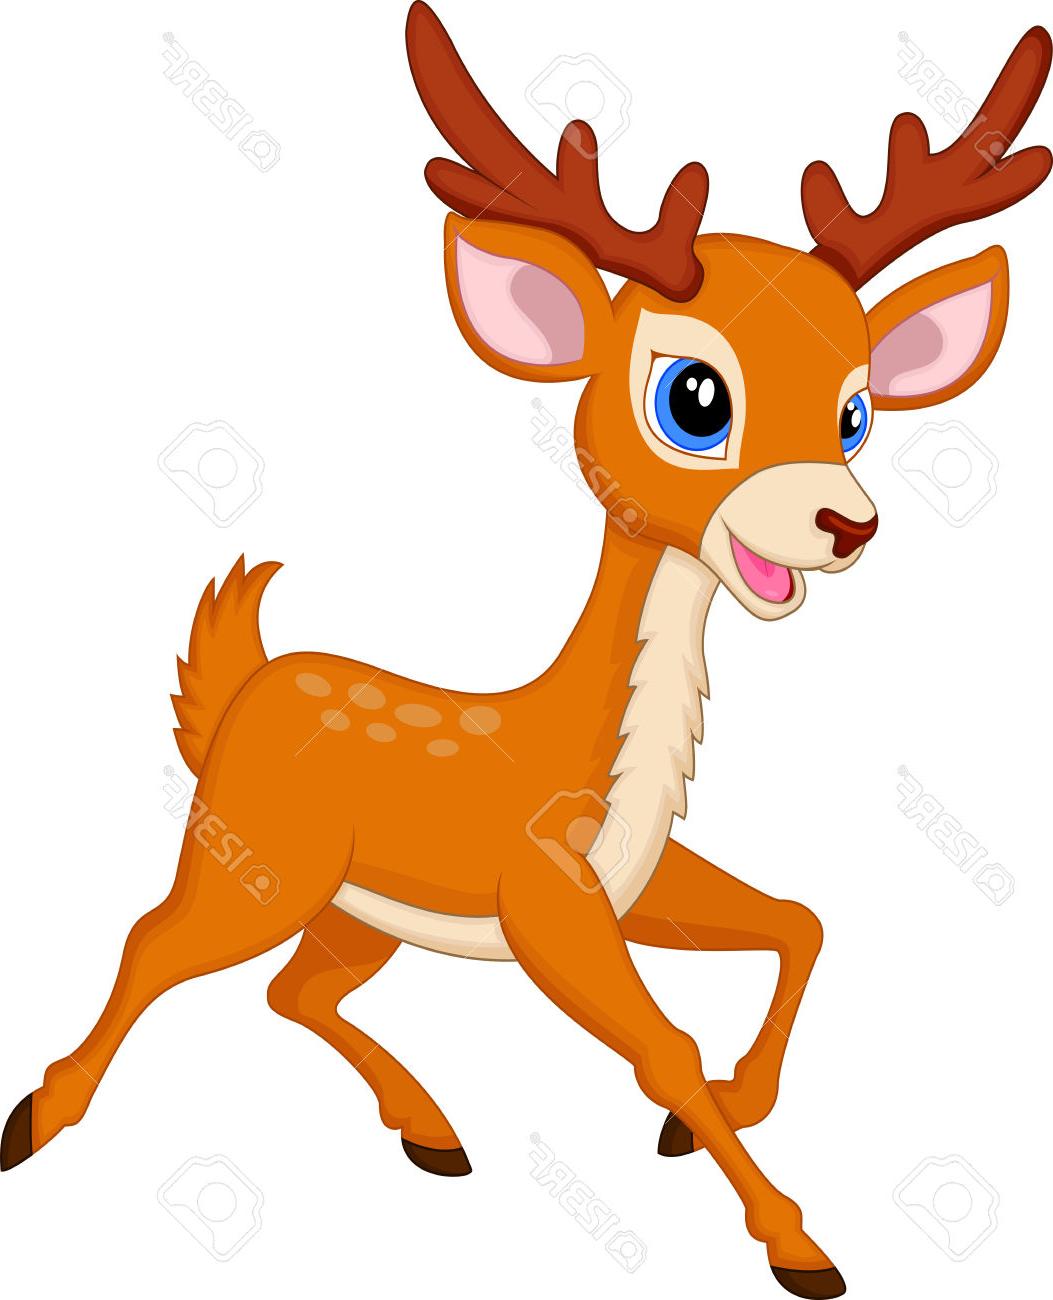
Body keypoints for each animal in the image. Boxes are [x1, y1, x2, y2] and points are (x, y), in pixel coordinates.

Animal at [3, 6, 1049, 1295]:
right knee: (156, 939)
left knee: (290, 990)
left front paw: (734, 1110)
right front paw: (800, 1244)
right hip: (255, 856)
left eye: (856, 411)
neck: (589, 755)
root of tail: (250, 679)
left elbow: (800, 918)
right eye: (695, 396)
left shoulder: (637, 881)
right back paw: (39, 1119)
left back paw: (431, 1129)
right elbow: (666, 1044)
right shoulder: (547, 894)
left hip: (356, 909)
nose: (844, 522)